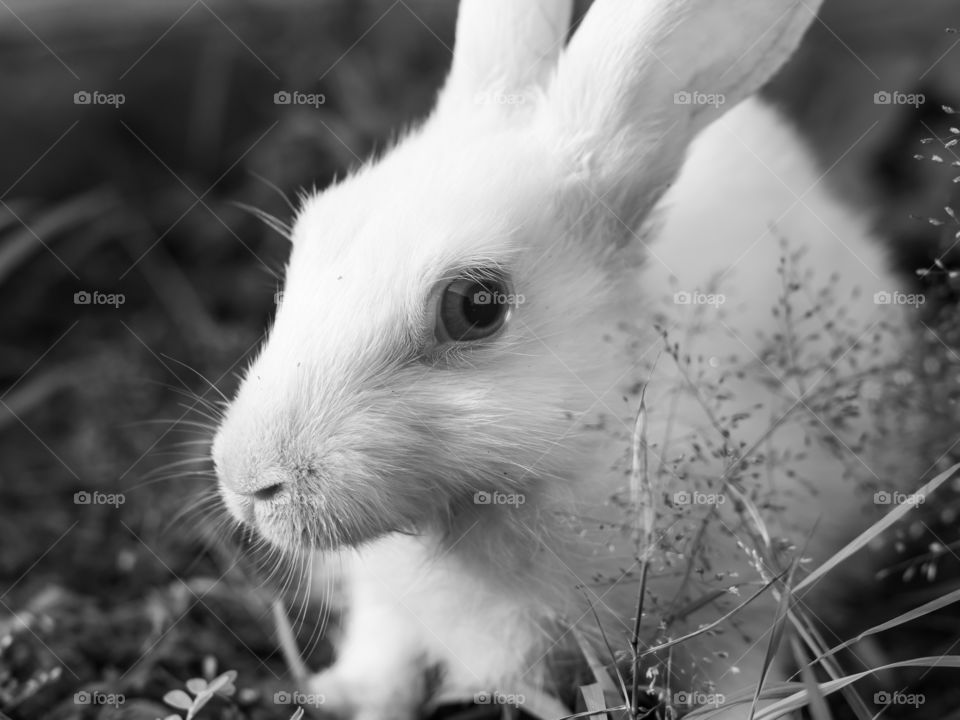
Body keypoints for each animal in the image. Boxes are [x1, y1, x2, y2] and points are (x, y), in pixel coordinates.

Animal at [212, 0, 926, 718]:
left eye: (476, 305)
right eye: (310, 233)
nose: (247, 479)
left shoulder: (739, 614)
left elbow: (738, 681)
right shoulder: (386, 603)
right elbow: (382, 654)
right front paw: (339, 696)